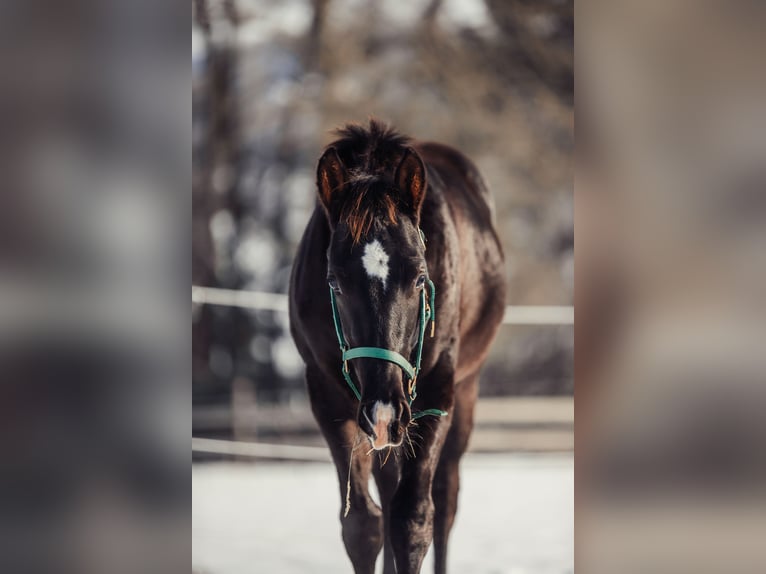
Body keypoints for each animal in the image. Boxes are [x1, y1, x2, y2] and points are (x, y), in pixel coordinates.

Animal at [292, 119, 508, 572]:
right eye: (334, 282)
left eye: (420, 277)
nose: (384, 409)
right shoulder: (328, 396)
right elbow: (362, 527)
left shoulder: (437, 389)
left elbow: (413, 522)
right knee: (388, 494)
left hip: (462, 393)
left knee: (445, 501)